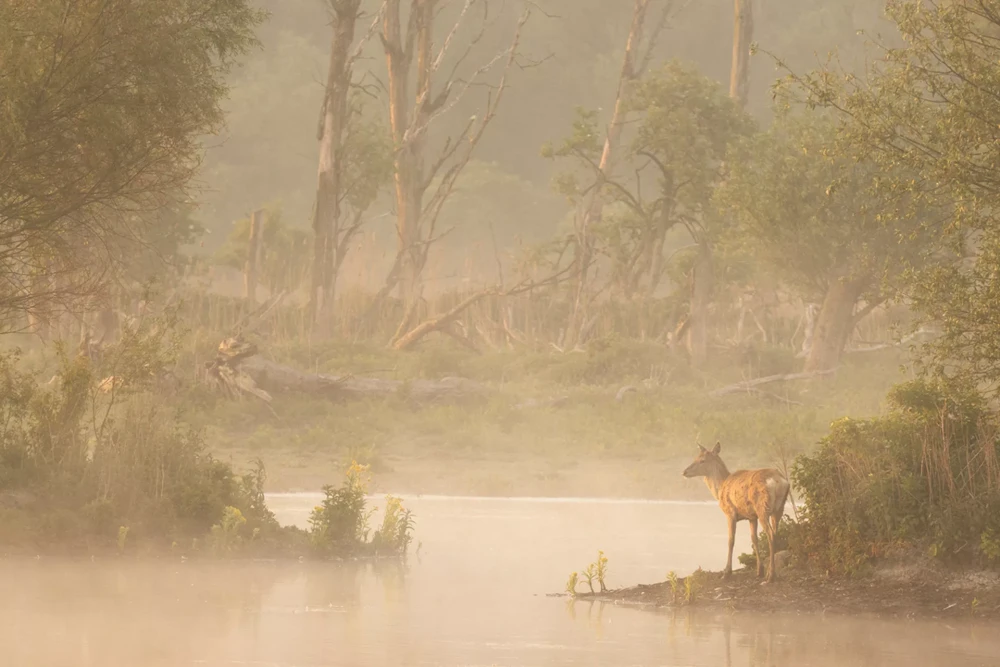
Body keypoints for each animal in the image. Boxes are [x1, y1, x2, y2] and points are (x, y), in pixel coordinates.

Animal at [684, 444, 792, 584]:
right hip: (779, 508)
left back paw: (770, 576)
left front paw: (726, 573)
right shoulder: (752, 516)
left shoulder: (730, 512)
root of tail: (778, 481)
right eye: (696, 457)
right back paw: (771, 573)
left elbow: (731, 540)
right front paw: (759, 571)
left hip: (762, 507)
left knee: (770, 534)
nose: (684, 472)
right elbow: (754, 539)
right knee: (775, 533)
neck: (720, 488)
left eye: (702, 460)